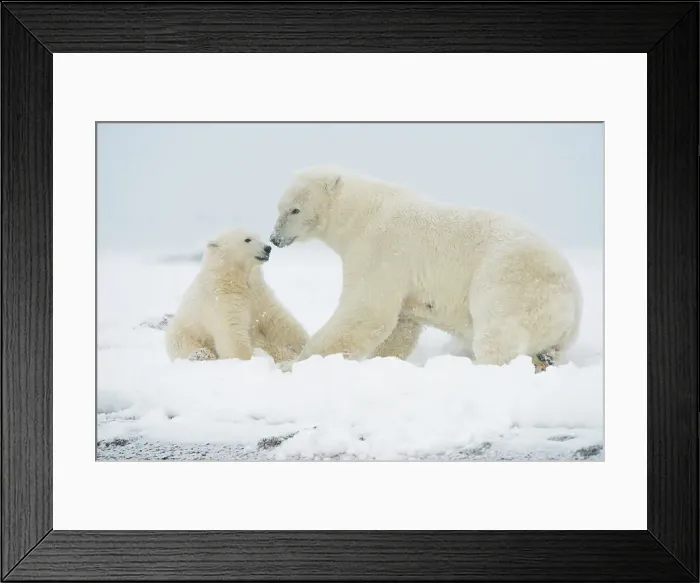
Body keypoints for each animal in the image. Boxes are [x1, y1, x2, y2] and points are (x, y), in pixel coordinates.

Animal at [165, 228, 309, 363]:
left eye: (258, 237)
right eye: (247, 239)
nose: (268, 248)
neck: (234, 279)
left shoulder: (258, 293)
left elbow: (278, 321)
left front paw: (305, 343)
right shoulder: (222, 299)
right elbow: (232, 330)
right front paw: (245, 359)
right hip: (182, 332)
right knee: (183, 345)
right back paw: (201, 354)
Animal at [270, 166, 582, 371]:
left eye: (295, 209)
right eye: (279, 208)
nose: (275, 239)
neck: (362, 213)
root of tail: (573, 298)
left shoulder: (381, 249)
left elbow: (366, 311)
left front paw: (295, 363)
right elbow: (400, 325)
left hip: (510, 284)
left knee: (498, 337)